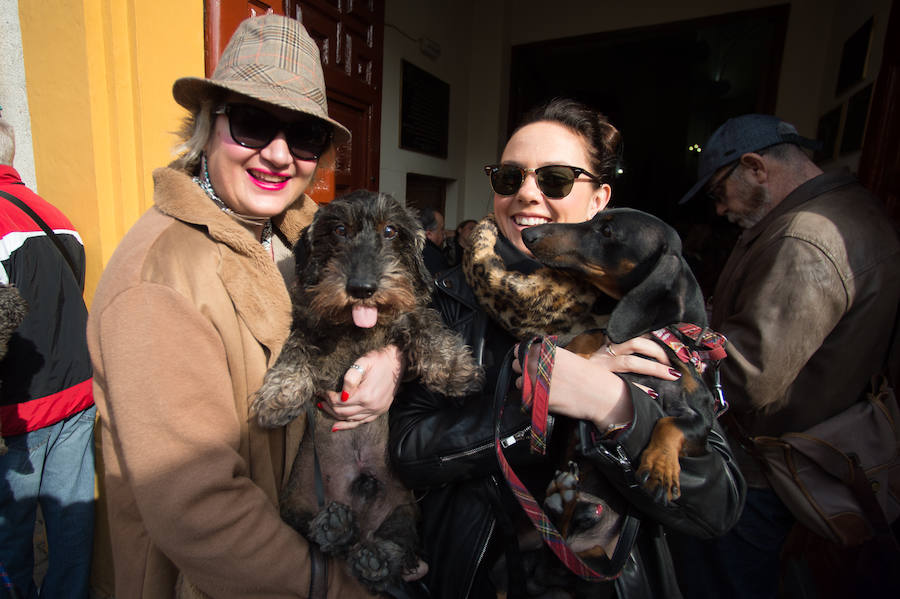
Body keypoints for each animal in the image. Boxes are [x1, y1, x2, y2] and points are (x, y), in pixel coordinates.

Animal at [250, 191, 482, 596]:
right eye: (340, 230)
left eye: (390, 231)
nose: (362, 288)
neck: (357, 327)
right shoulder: (308, 325)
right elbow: (296, 347)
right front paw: (280, 394)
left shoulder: (409, 317)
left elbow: (424, 323)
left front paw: (453, 368)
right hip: (294, 510)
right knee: (320, 539)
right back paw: (336, 527)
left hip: (403, 512)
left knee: (394, 546)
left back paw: (373, 557)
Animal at [520, 209, 724, 552]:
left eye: (607, 231)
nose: (528, 235)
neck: (659, 338)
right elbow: (592, 335)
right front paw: (575, 352)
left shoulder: (702, 420)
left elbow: (672, 423)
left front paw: (660, 468)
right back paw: (562, 492)